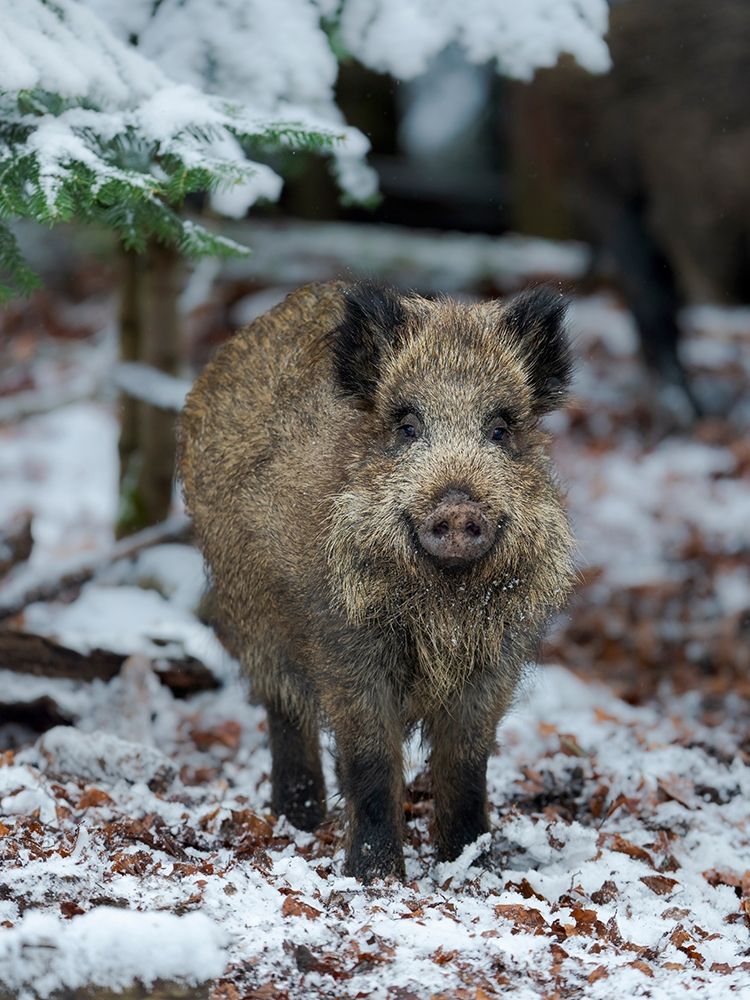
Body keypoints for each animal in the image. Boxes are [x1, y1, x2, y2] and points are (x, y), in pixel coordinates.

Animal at [179, 280, 575, 880]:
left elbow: (467, 762)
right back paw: (300, 819)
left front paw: (475, 866)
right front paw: (375, 876)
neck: (444, 606)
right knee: (283, 707)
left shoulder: (496, 659)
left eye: (501, 429)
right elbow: (369, 756)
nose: (458, 506)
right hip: (246, 605)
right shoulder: (344, 643)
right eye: (407, 427)